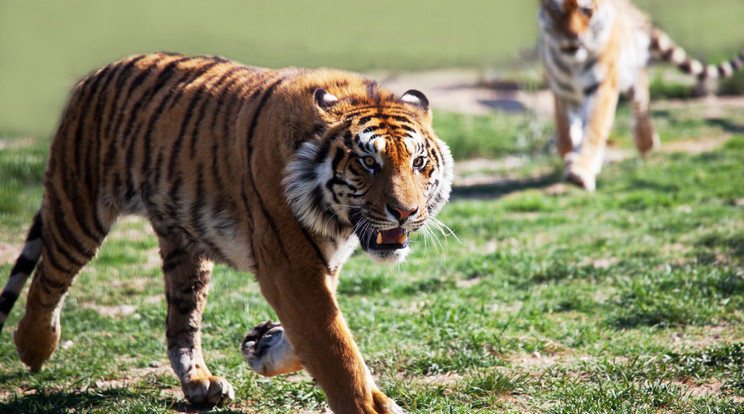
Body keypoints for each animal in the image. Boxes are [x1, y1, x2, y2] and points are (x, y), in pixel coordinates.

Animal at [0, 52, 454, 414]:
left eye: (418, 162)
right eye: (367, 162)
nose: (405, 212)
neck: (337, 220)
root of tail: (93, 74)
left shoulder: (321, 265)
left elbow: (319, 336)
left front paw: (262, 344)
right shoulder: (291, 267)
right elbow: (337, 350)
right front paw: (368, 406)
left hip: (186, 250)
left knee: (180, 324)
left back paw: (201, 385)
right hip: (79, 208)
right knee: (48, 280)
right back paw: (32, 347)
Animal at [536, 0, 744, 191]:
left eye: (586, 10)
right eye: (557, 11)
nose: (572, 36)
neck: (573, 64)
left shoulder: (602, 86)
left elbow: (594, 129)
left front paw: (580, 171)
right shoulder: (561, 91)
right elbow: (566, 137)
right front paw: (574, 156)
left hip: (630, 75)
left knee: (642, 94)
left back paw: (646, 142)